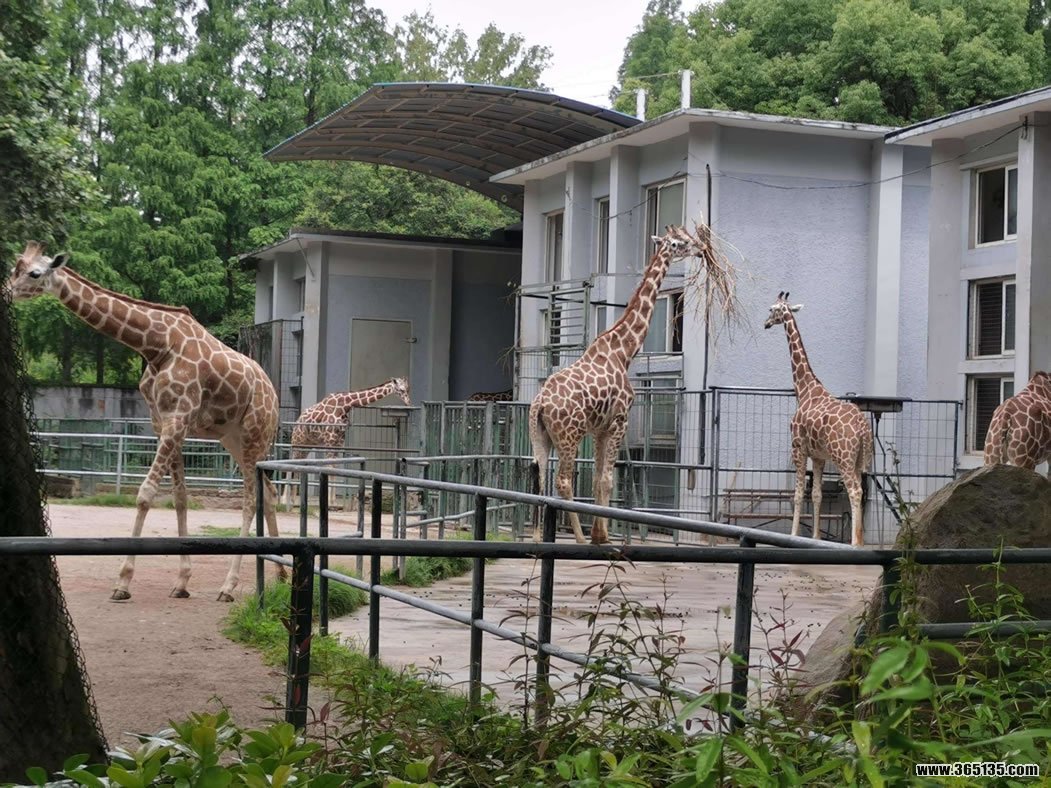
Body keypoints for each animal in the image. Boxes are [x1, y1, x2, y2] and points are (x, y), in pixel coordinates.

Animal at [6, 242, 283, 601]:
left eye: (34, 273)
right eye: (13, 268)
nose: (7, 292)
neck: (155, 345)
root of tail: (275, 396)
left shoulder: (178, 418)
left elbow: (145, 493)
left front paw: (123, 582)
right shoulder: (163, 422)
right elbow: (179, 498)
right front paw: (181, 581)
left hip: (253, 432)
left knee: (251, 499)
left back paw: (228, 586)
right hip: (232, 438)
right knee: (270, 492)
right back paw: (281, 575)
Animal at [282, 378, 412, 505]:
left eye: (408, 388)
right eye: (401, 389)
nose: (409, 402)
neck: (344, 405)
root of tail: (297, 422)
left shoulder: (339, 442)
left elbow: (336, 468)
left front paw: (333, 501)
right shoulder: (330, 441)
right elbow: (329, 468)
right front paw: (329, 501)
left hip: (307, 445)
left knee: (298, 464)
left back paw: (293, 499)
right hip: (297, 442)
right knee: (290, 463)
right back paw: (284, 499)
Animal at [529, 225, 702, 544]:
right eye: (680, 242)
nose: (699, 249)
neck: (624, 351)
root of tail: (540, 404)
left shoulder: (600, 428)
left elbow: (598, 479)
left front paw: (601, 532)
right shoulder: (619, 421)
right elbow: (608, 480)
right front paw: (601, 536)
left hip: (542, 435)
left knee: (538, 475)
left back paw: (536, 538)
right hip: (570, 436)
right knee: (562, 480)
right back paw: (579, 538)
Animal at [764, 292, 873, 546]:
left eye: (772, 309)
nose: (765, 324)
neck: (804, 390)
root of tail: (863, 429)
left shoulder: (798, 448)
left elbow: (797, 494)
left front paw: (793, 535)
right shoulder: (819, 456)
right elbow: (816, 495)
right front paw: (815, 537)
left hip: (843, 458)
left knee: (855, 491)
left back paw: (854, 543)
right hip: (860, 459)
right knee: (861, 491)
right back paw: (860, 541)